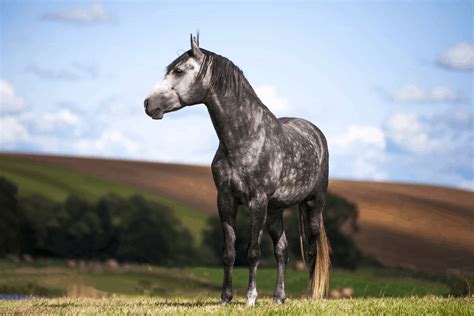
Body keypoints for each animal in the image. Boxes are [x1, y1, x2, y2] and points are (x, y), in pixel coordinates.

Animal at [144, 35, 330, 306]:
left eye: (178, 71)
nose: (148, 104)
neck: (245, 138)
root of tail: (315, 132)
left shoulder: (257, 202)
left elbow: (252, 252)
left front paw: (250, 299)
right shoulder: (226, 201)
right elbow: (229, 252)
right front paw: (226, 297)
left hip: (312, 204)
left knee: (312, 249)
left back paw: (310, 297)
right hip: (275, 211)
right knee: (282, 250)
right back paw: (278, 298)